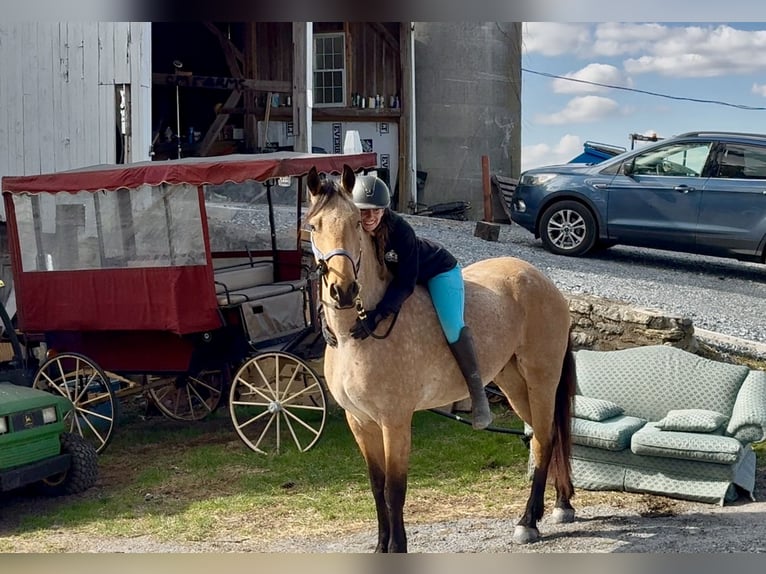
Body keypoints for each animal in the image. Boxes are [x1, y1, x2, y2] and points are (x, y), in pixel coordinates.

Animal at [305, 164, 576, 553]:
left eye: (357, 222)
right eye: (314, 226)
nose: (342, 290)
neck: (356, 334)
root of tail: (544, 281)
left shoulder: (395, 422)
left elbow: (395, 490)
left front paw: (397, 548)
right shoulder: (361, 422)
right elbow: (376, 487)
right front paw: (381, 546)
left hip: (542, 379)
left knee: (544, 438)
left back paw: (528, 522)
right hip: (512, 381)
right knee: (545, 437)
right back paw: (556, 506)